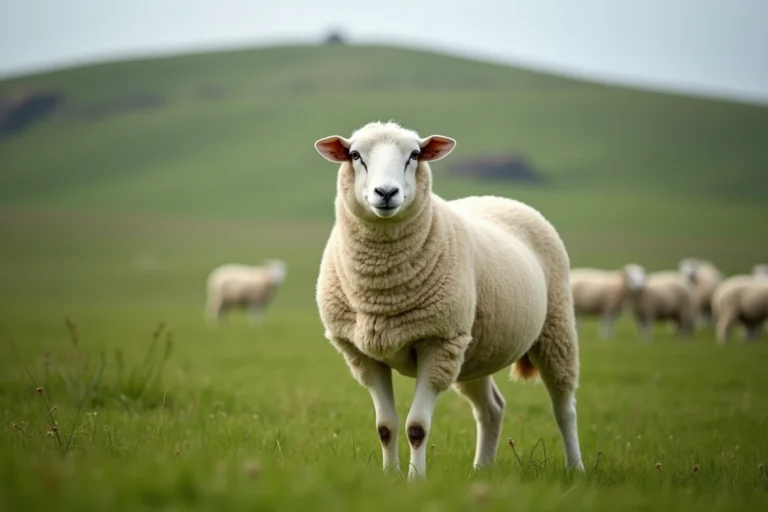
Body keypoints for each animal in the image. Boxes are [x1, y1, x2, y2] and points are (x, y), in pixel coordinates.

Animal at [313, 120, 585, 481]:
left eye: (414, 155)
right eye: (355, 155)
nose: (386, 193)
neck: (382, 288)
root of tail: (497, 197)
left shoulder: (438, 343)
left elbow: (416, 427)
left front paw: (416, 480)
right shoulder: (362, 354)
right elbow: (385, 427)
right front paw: (389, 477)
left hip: (555, 329)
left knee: (564, 407)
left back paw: (576, 468)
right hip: (474, 351)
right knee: (491, 409)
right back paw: (481, 469)